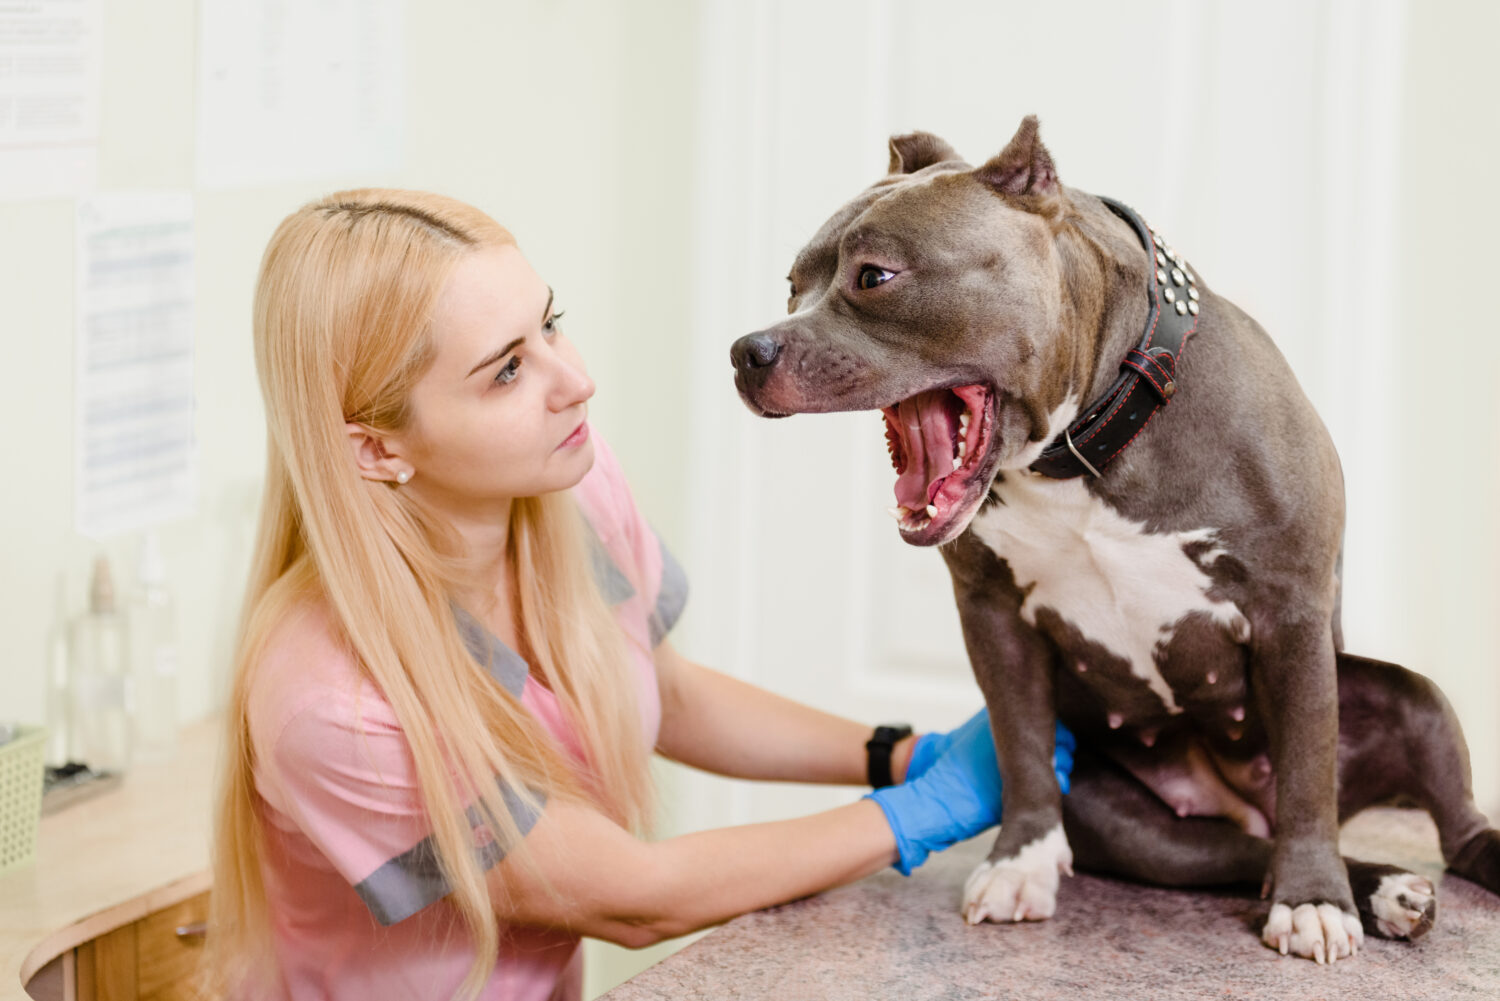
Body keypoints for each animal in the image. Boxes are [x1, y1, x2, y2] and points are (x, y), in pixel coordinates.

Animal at [729, 115, 1500, 960]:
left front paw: (1311, 899)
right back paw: (1383, 887)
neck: (1086, 447)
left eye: (874, 277)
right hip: (1129, 821)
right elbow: (1021, 744)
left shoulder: (1291, 610)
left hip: (1410, 701)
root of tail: (1234, 796)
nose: (747, 350)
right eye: (793, 286)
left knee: (1443, 819)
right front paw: (1021, 864)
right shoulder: (993, 614)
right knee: (1238, 851)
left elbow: (1306, 770)